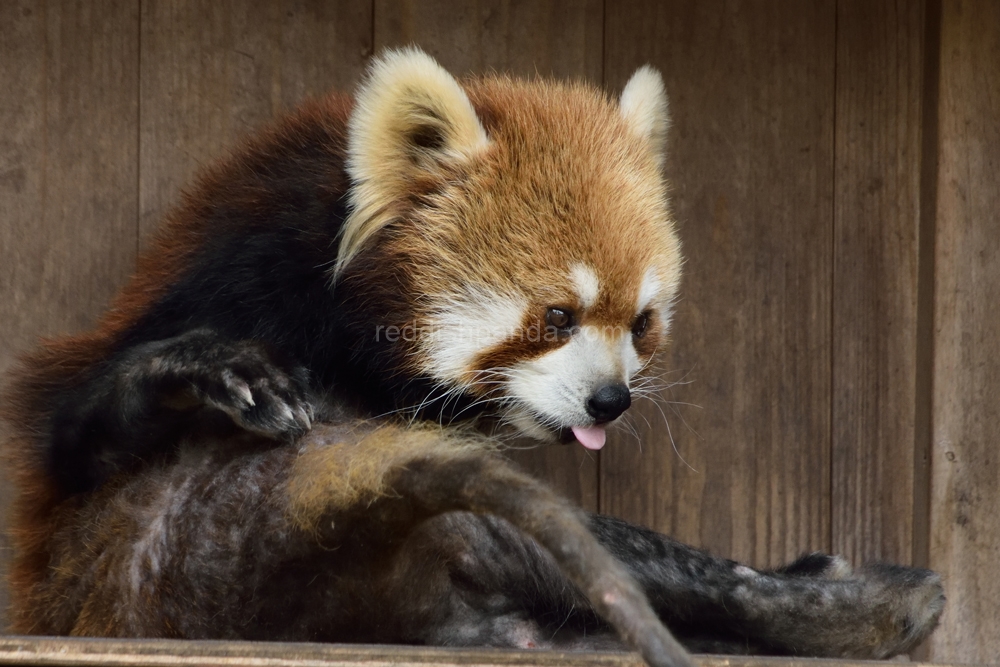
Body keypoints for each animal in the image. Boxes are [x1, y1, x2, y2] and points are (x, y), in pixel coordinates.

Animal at [0, 48, 940, 664]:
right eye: (557, 315)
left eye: (640, 322)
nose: (610, 402)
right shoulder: (232, 270)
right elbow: (67, 428)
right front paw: (206, 371)